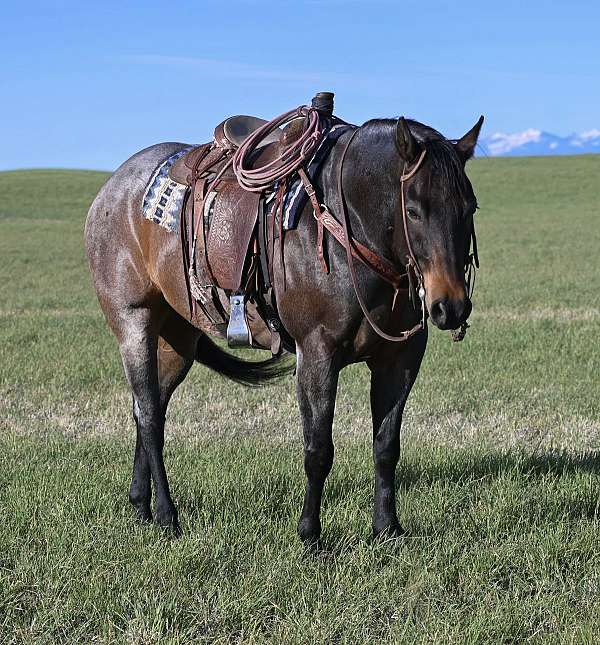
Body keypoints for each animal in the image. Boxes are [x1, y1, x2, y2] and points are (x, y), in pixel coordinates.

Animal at [85, 112, 483, 546]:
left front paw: (387, 528)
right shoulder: (317, 355)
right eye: (412, 210)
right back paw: (166, 515)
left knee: (149, 407)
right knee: (150, 417)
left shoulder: (400, 359)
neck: (347, 230)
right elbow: (318, 450)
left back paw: (140, 505)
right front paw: (310, 536)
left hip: (178, 338)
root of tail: (111, 190)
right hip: (134, 324)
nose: (450, 306)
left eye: (470, 207)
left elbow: (386, 446)